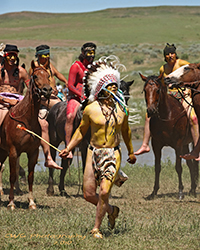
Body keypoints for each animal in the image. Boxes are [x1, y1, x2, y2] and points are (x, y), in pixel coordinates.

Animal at [0, 60, 52, 209]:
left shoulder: (33, 152)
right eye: (35, 76)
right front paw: (11, 203)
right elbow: (12, 175)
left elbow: (30, 177)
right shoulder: (13, 151)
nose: (47, 90)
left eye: (48, 76)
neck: (26, 120)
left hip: (3, 151)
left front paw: (32, 203)